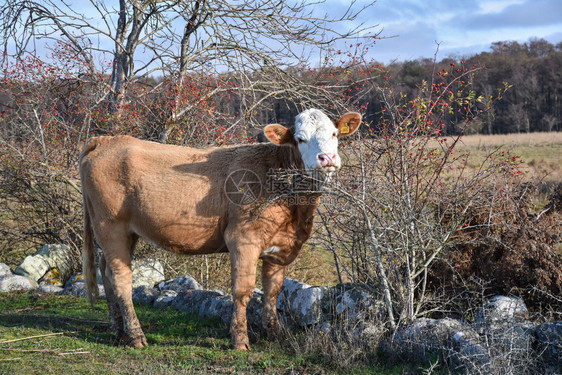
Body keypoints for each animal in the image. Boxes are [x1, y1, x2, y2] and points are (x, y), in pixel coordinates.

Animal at [77, 108, 358, 350]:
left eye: (334, 133)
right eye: (300, 139)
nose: (327, 159)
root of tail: (108, 139)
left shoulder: (281, 247)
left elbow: (272, 292)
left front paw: (274, 334)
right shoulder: (242, 239)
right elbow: (243, 292)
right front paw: (240, 340)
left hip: (126, 232)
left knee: (107, 273)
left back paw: (120, 332)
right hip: (110, 226)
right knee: (121, 279)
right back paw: (136, 335)